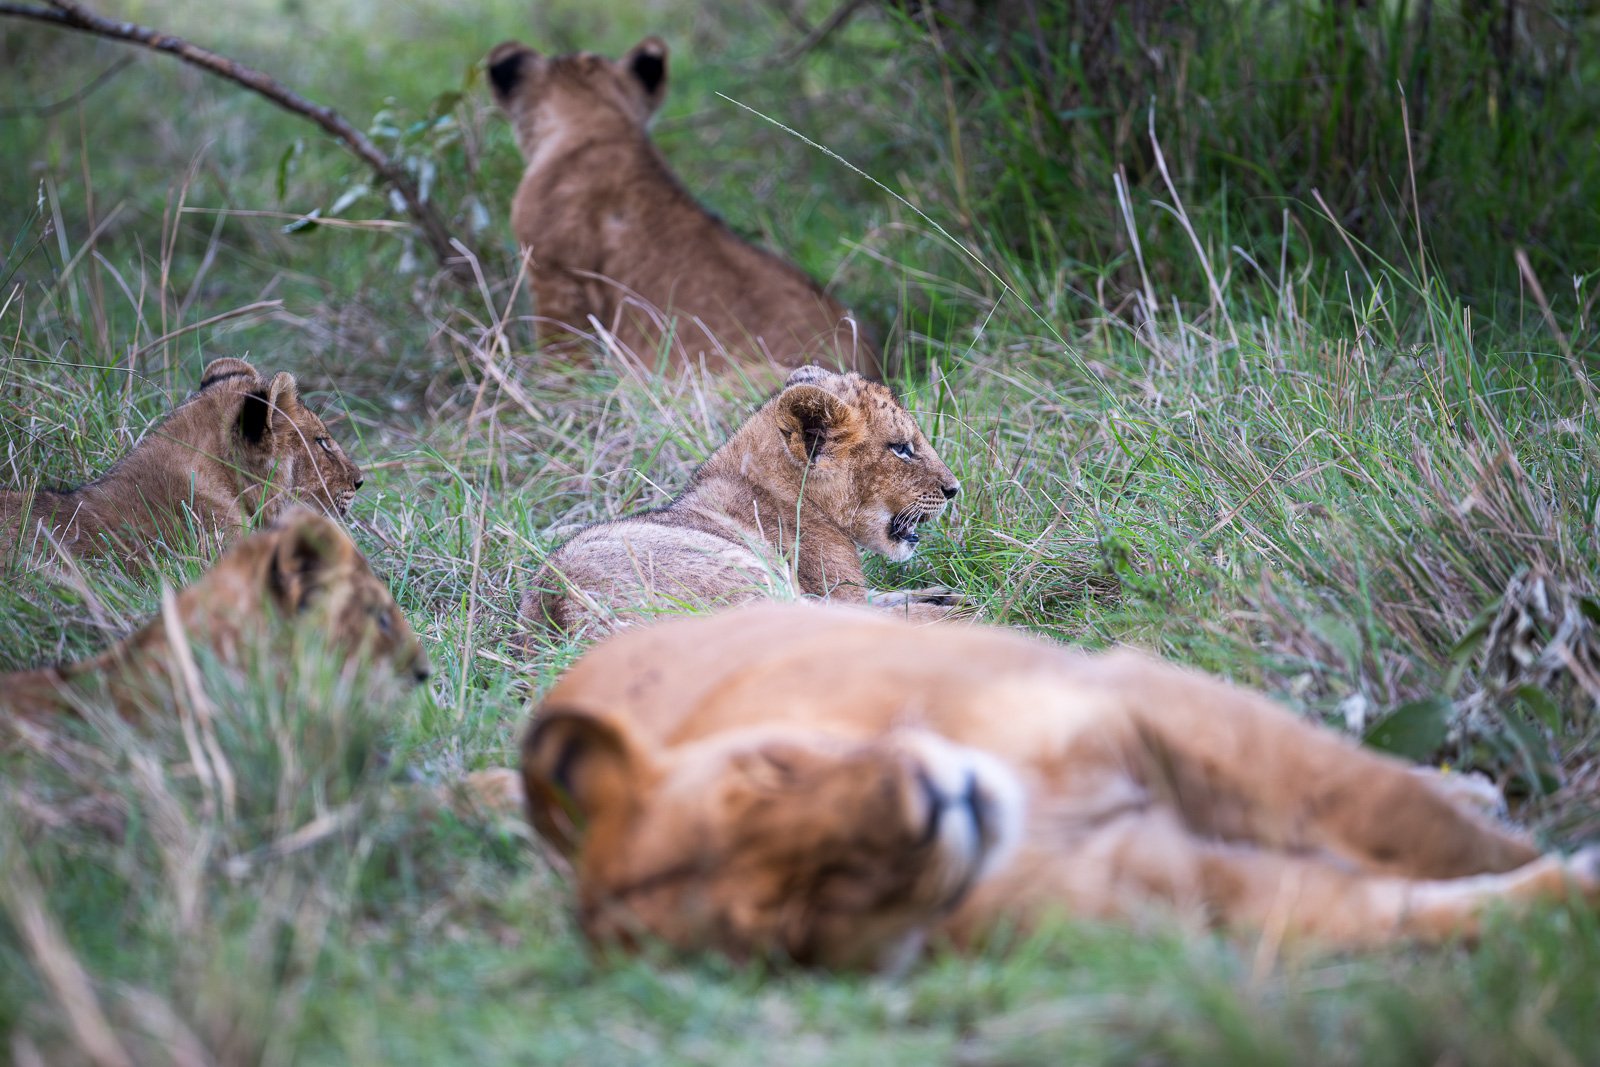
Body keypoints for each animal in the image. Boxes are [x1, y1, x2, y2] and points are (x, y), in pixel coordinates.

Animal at [513, 602, 1600, 970]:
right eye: (794, 917)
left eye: (771, 769)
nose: (930, 806)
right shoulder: (1191, 893)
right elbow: (1425, 911)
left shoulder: (1148, 697)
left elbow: (1406, 822)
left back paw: (1471, 784)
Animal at [523, 366, 965, 637]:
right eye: (901, 449)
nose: (954, 488)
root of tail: (562, 615)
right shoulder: (835, 596)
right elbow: (884, 612)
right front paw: (957, 605)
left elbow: (888, 596)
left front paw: (944, 591)